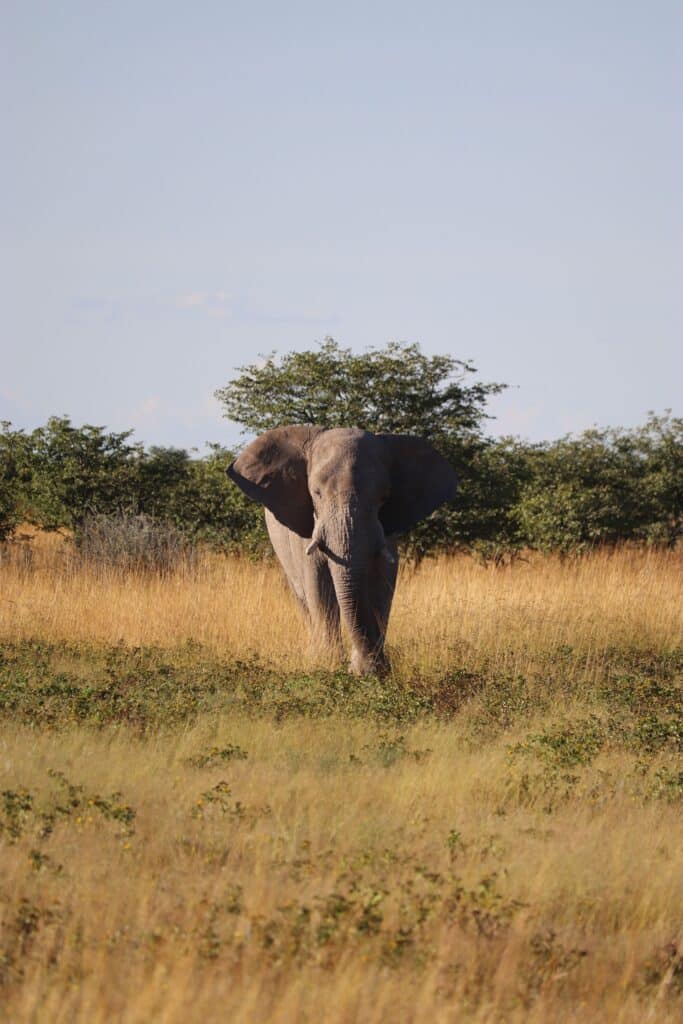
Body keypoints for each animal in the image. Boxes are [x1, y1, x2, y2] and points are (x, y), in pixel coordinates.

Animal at [227, 425, 457, 675]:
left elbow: (383, 582)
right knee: (303, 598)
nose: (371, 668)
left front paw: (370, 670)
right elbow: (318, 585)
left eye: (384, 498)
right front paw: (330, 664)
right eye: (316, 493)